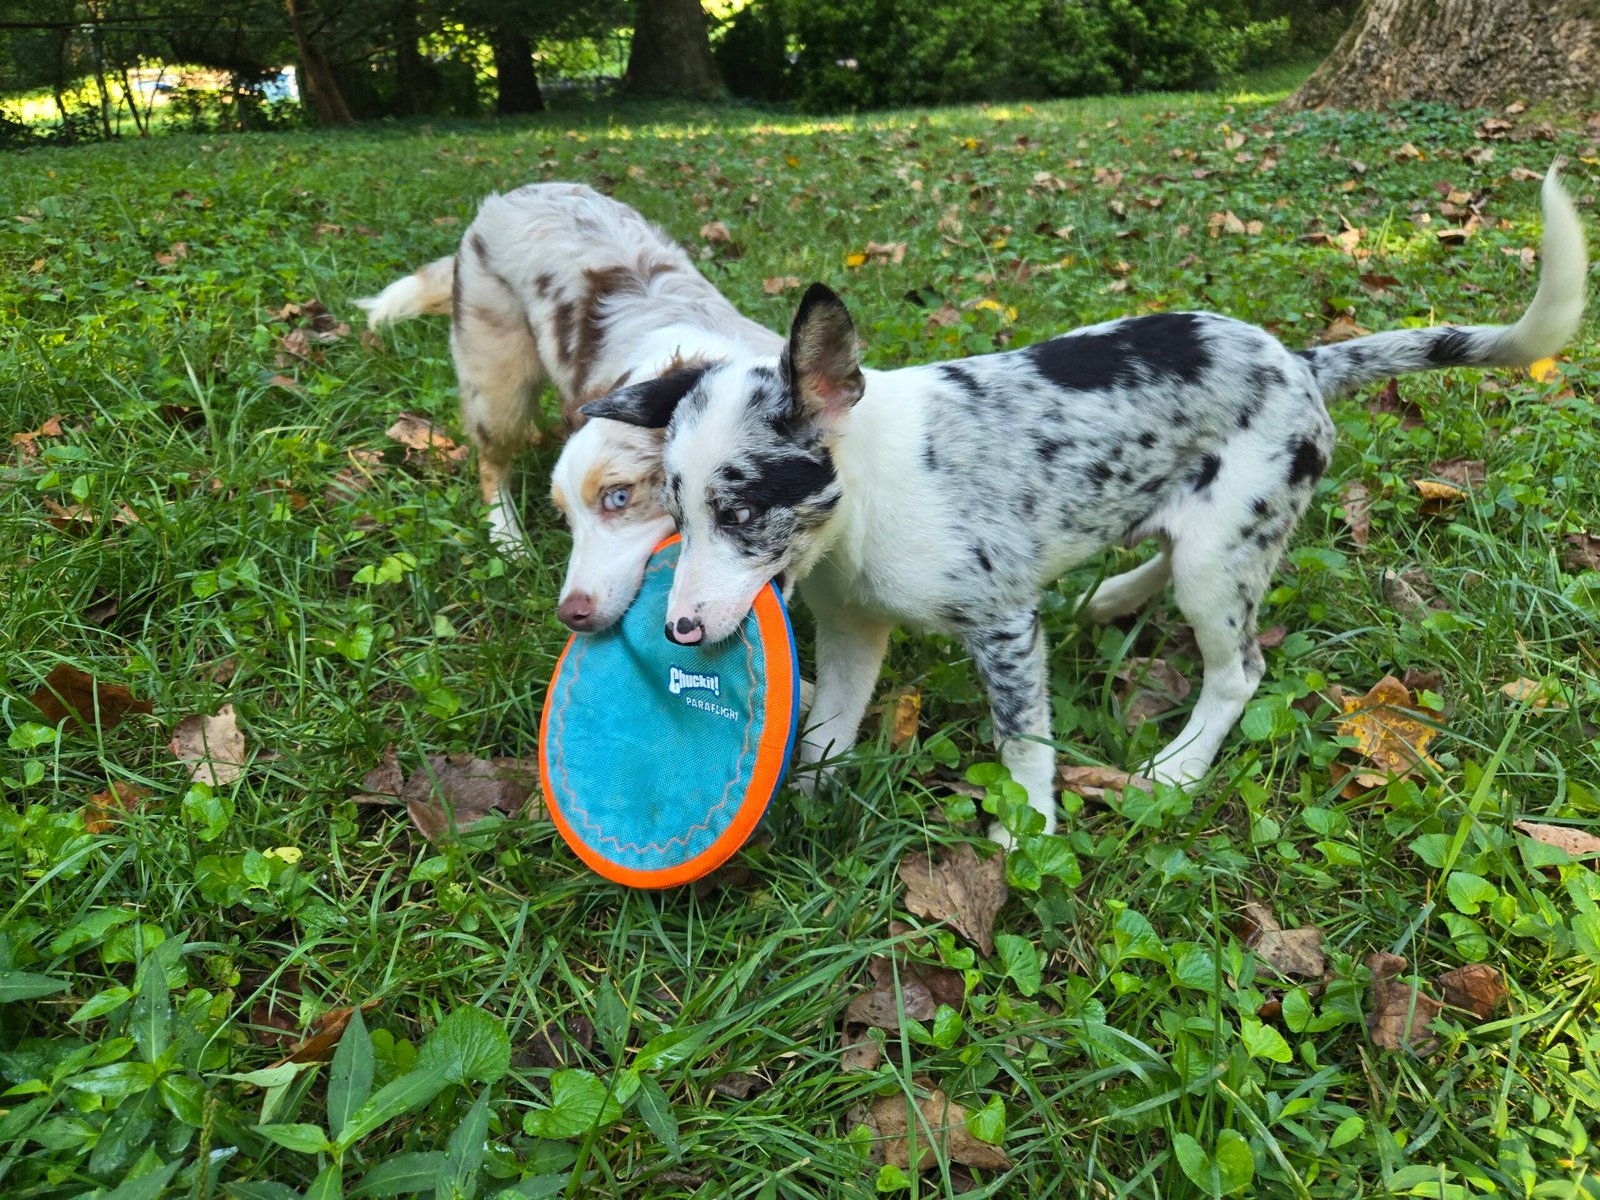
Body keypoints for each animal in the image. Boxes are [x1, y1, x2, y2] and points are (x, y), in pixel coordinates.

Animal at [358, 182, 783, 632]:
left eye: (618, 497)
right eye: (567, 518)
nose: (570, 615)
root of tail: (512, 194)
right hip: (497, 384)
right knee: (491, 462)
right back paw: (506, 537)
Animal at [582, 167, 1585, 840]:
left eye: (744, 513)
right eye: (676, 514)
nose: (675, 632)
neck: (861, 512)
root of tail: (1302, 361)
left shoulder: (1002, 626)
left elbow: (1022, 739)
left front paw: (1025, 828)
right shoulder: (853, 628)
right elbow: (829, 726)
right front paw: (805, 800)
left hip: (1224, 558)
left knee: (1238, 673)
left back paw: (1179, 766)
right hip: (1207, 532)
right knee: (1168, 551)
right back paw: (1115, 595)